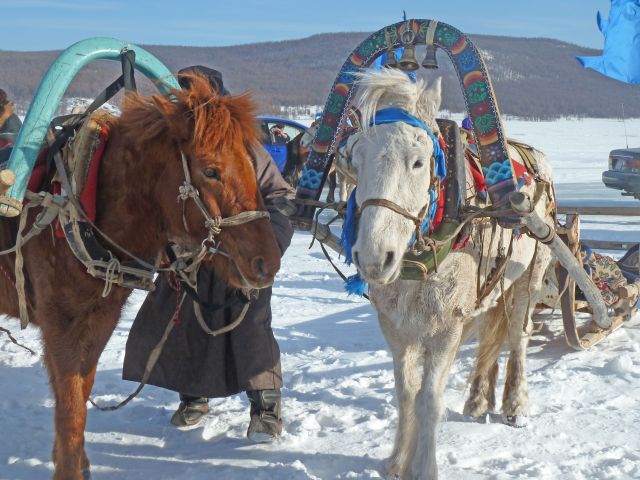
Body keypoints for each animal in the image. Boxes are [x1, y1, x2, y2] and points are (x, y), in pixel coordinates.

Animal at [0, 73, 282, 478]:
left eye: (251, 164)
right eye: (210, 170)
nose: (267, 263)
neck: (84, 206)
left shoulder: (99, 321)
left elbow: (80, 393)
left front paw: (76, 461)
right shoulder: (60, 327)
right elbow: (70, 407)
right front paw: (70, 468)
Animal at [344, 68, 556, 480]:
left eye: (417, 162)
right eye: (356, 160)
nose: (375, 258)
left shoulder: (446, 329)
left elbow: (429, 400)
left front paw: (425, 466)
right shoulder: (395, 328)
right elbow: (405, 395)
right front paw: (397, 462)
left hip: (528, 279)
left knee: (518, 339)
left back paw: (516, 407)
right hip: (492, 288)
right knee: (492, 334)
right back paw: (478, 400)